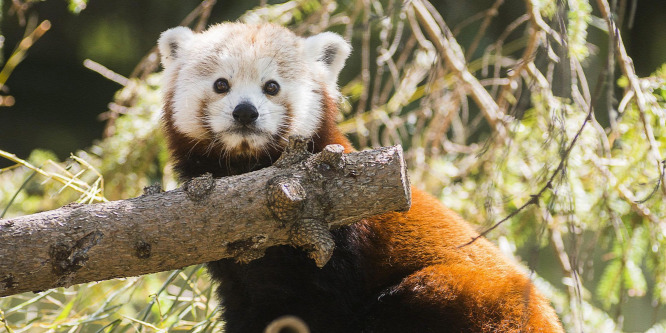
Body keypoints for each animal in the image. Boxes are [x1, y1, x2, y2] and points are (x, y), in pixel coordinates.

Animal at [157, 22, 560, 330]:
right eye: (221, 84)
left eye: (271, 87)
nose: (245, 112)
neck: (247, 176)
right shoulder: (231, 260)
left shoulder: (341, 240)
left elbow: (326, 307)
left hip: (471, 295)